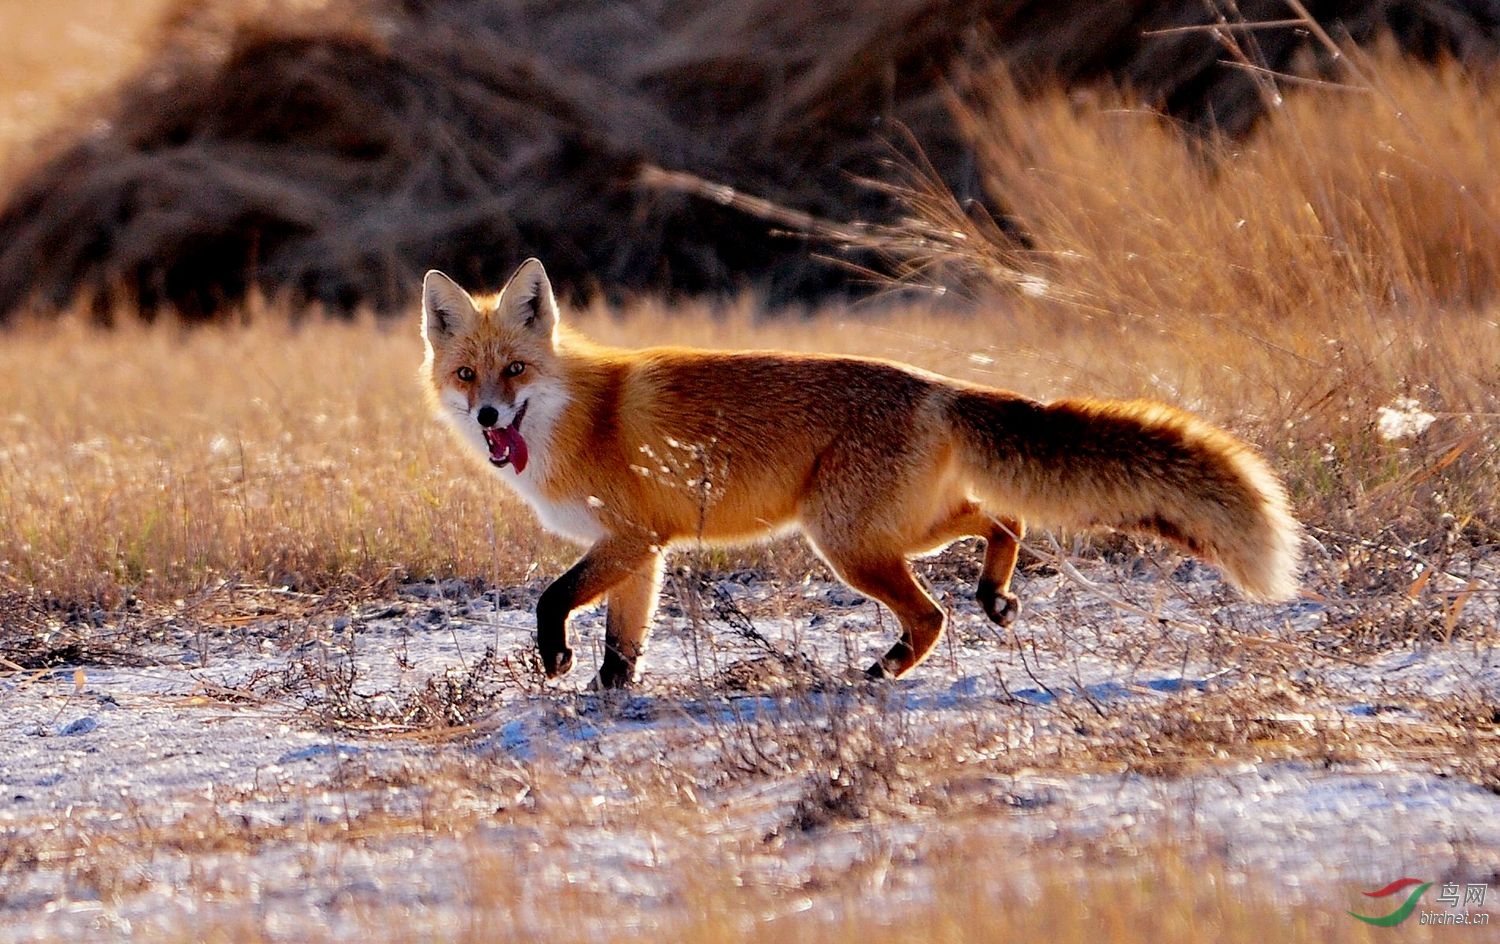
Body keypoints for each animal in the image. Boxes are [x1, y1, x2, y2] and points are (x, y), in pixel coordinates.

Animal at [423, 258, 1302, 684]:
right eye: (467, 375)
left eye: (515, 370)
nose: (489, 418)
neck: (579, 415)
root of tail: (937, 385)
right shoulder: (643, 551)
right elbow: (624, 645)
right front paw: (607, 695)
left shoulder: (632, 538)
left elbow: (553, 599)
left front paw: (554, 659)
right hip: (898, 529)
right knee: (1002, 518)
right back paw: (995, 594)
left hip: (845, 542)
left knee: (932, 615)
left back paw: (882, 670)